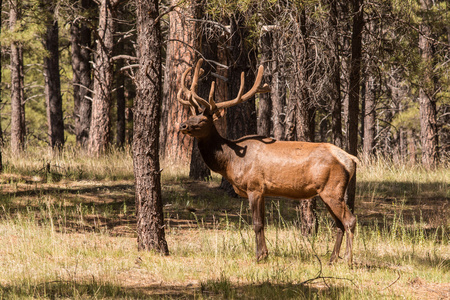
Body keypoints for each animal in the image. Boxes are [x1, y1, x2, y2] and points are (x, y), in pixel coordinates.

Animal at [178, 58, 356, 264]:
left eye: (203, 120)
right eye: (191, 115)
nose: (183, 125)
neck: (230, 161)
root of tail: (351, 160)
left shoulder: (254, 186)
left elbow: (256, 223)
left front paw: (259, 256)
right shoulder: (263, 191)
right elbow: (262, 223)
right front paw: (265, 253)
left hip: (332, 189)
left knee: (349, 220)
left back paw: (348, 259)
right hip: (326, 192)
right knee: (339, 223)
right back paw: (332, 259)